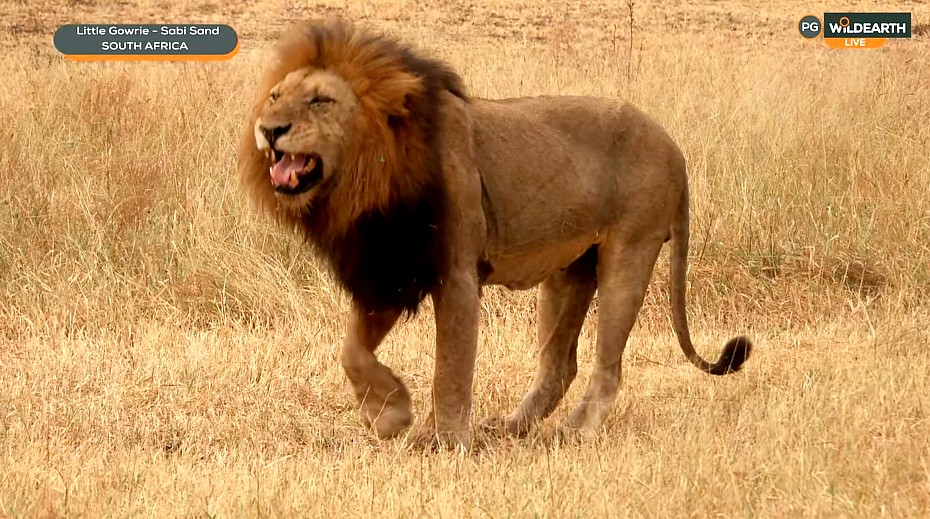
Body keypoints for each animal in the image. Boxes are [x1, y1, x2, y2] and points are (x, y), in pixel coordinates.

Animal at [238, 20, 752, 449]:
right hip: (569, 271)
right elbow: (351, 351)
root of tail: (674, 148)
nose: (269, 129)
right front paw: (392, 415)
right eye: (274, 96)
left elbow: (450, 369)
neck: (367, 181)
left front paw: (445, 442)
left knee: (607, 366)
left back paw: (574, 432)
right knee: (559, 365)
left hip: (630, 252)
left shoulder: (457, 275)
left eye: (320, 101)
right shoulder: (393, 267)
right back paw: (508, 428)